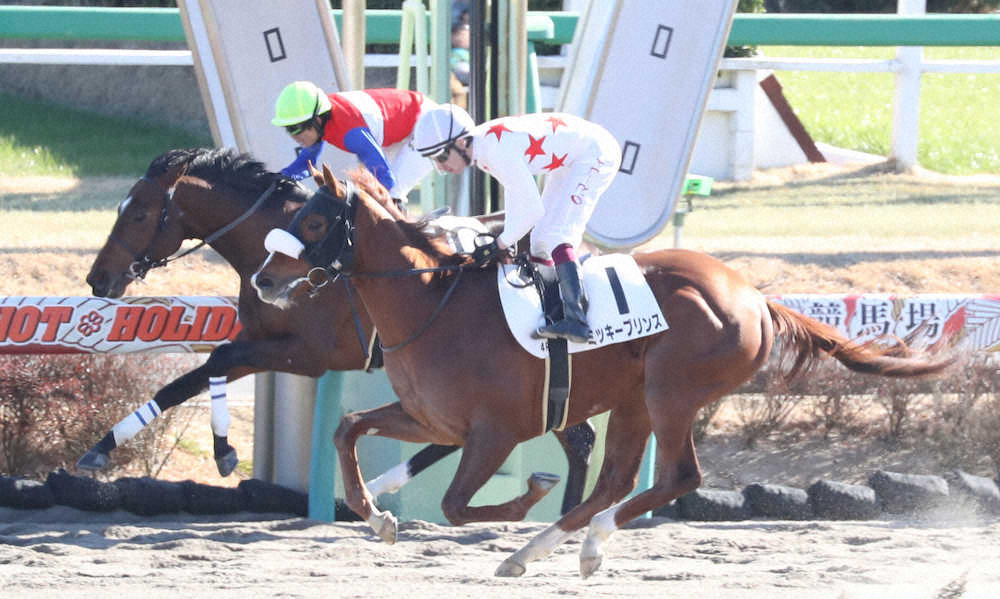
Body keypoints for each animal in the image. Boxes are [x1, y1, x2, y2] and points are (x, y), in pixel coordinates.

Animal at [81, 147, 595, 514]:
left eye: (139, 214)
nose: (98, 279)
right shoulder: (261, 338)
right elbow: (192, 377)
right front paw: (103, 448)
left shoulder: (310, 354)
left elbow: (215, 362)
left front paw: (222, 451)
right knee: (568, 436)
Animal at [250, 165, 953, 578]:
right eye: (294, 213)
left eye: (315, 219)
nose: (262, 280)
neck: (432, 302)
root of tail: (755, 297)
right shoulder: (431, 419)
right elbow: (347, 429)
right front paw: (376, 516)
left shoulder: (495, 432)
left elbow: (455, 504)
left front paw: (526, 495)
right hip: (636, 399)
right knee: (616, 480)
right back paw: (547, 550)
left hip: (671, 393)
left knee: (676, 476)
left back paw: (576, 542)